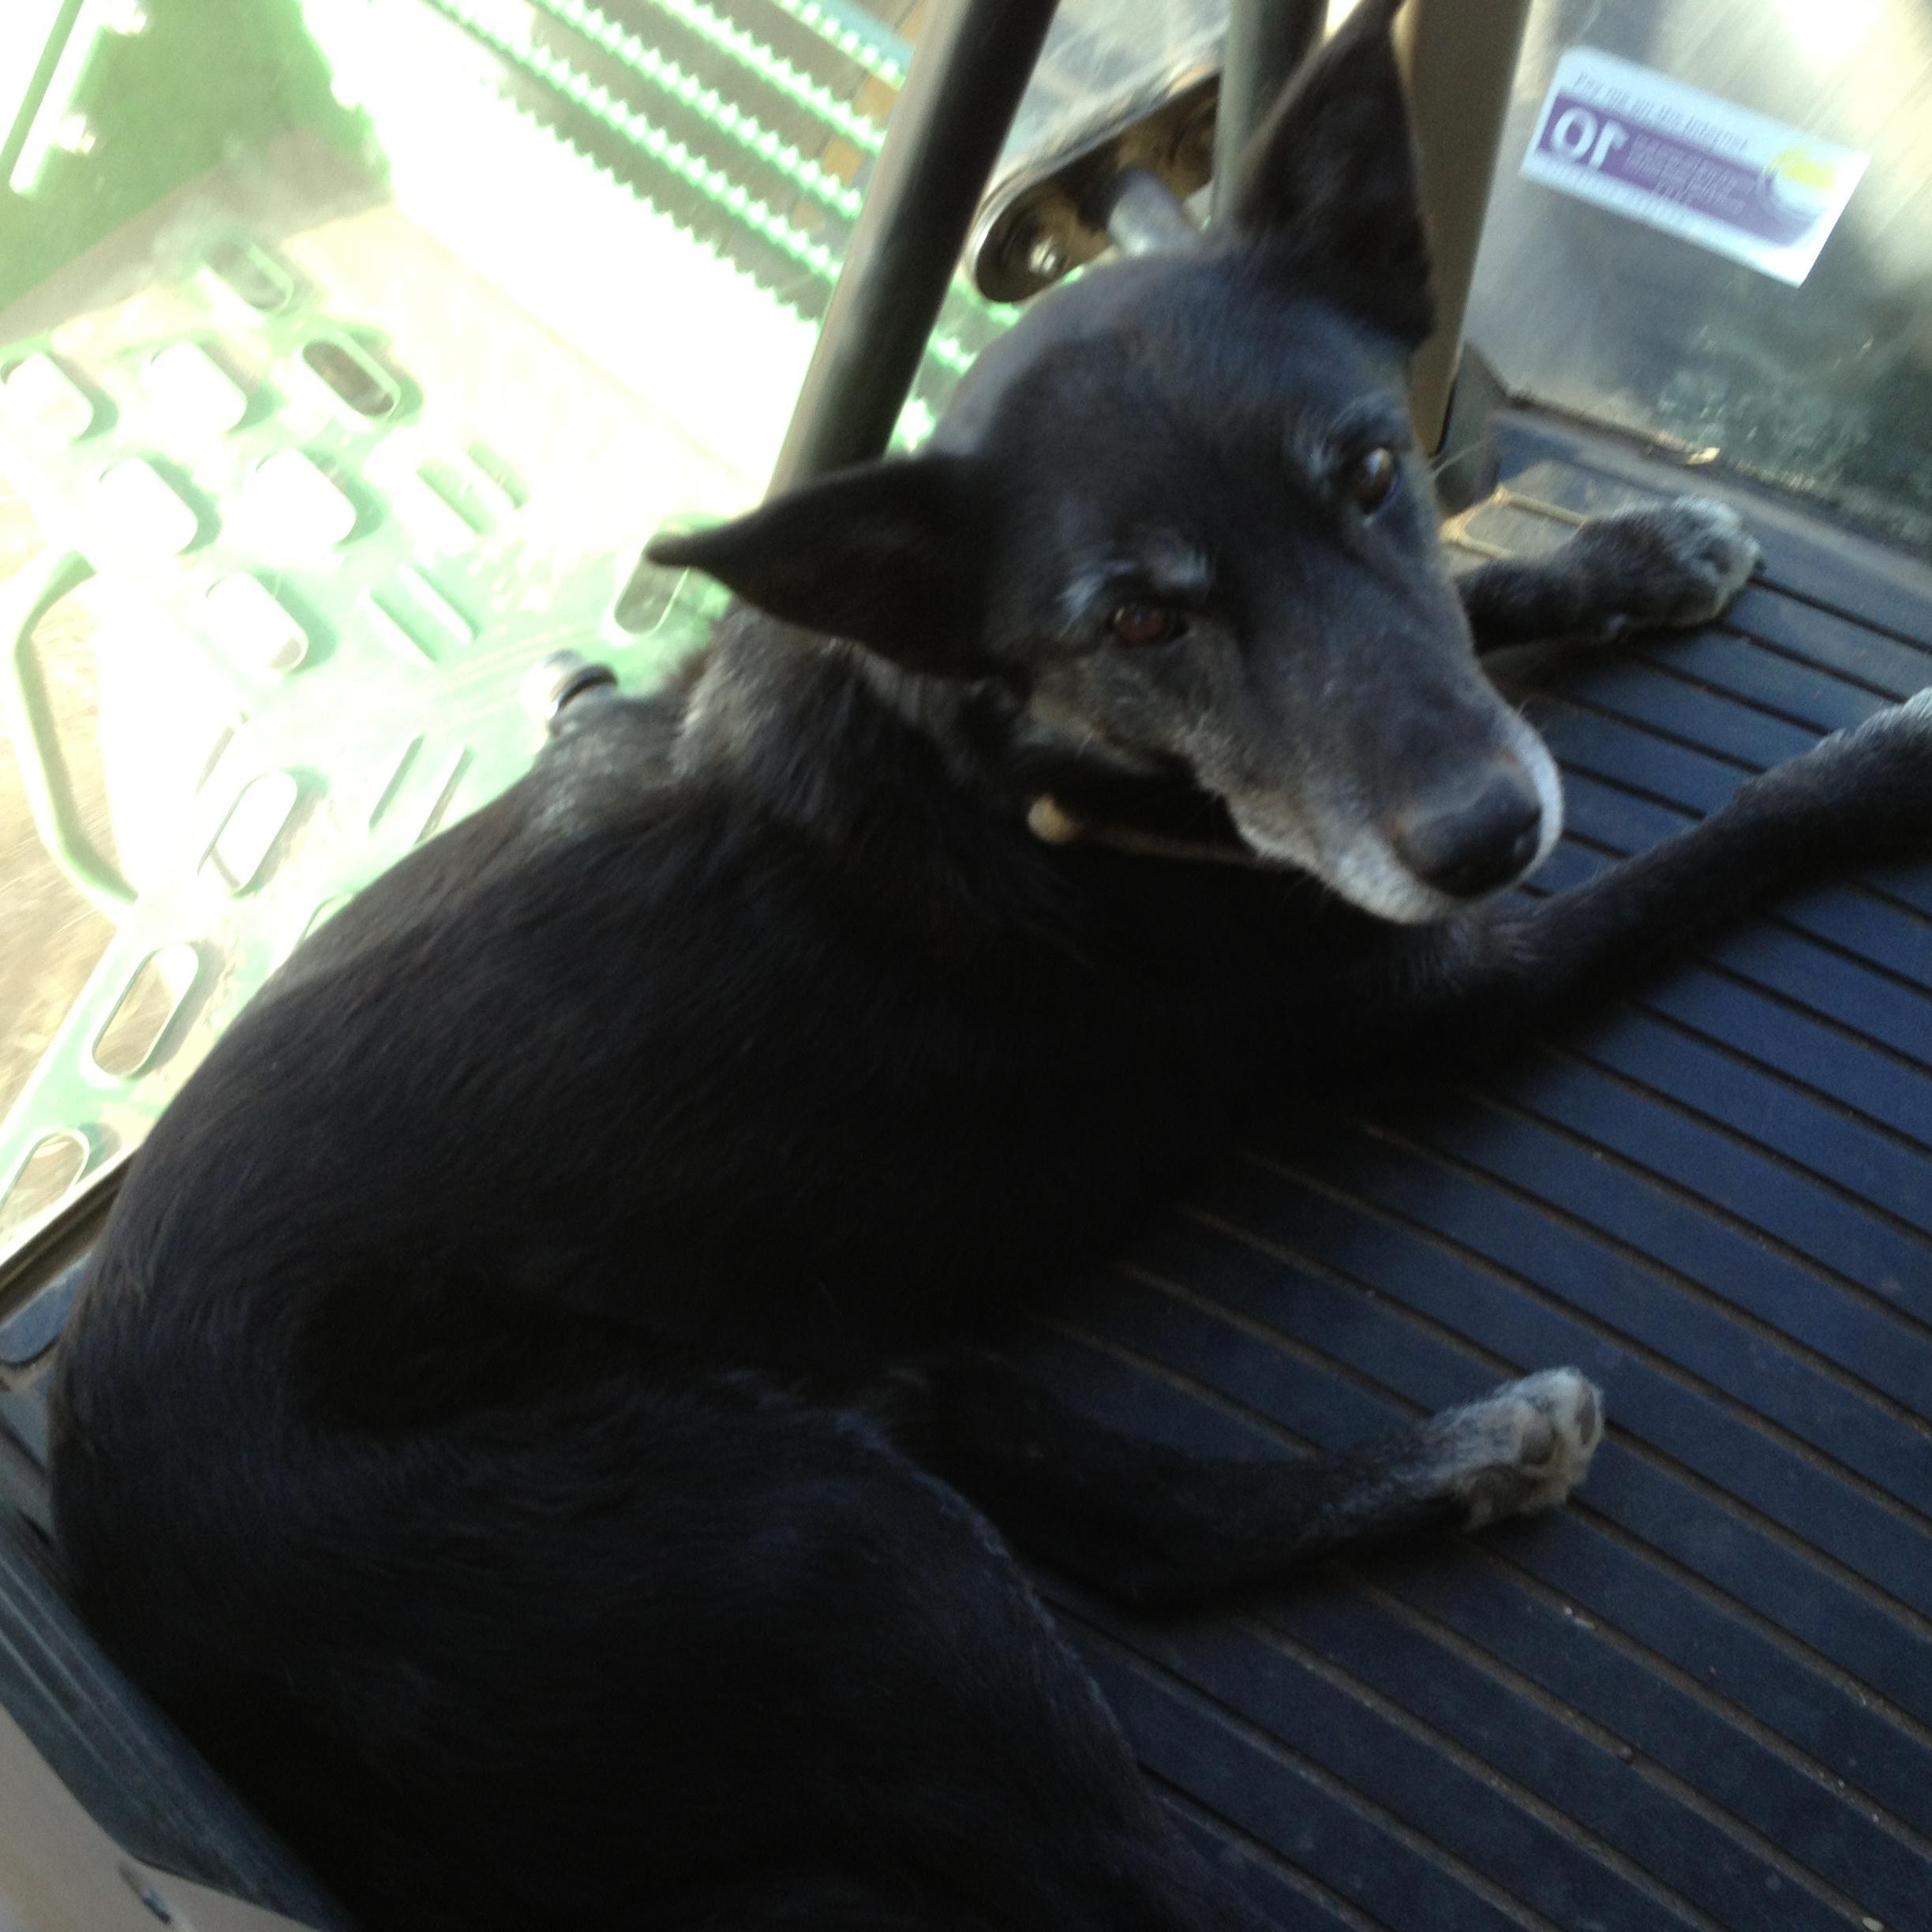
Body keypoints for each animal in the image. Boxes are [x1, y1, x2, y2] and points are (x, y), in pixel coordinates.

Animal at [49, 7, 1932, 1924]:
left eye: (1374, 474)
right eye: (1140, 618)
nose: (1485, 832)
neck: (1016, 769)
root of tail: (133, 1593)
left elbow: (1476, 614)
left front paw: (1635, 551)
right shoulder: (1452, 992)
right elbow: (1737, 831)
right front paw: (1887, 759)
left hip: (845, 1378)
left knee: (1126, 1524)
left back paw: (1467, 1454)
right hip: (816, 1546)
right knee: (1128, 1799)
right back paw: (1482, 1457)